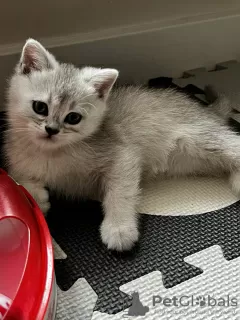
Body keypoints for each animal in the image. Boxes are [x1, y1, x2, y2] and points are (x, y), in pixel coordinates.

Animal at [3, 38, 240, 251]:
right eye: (40, 107)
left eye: (73, 118)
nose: (51, 130)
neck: (51, 153)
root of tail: (207, 109)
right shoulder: (17, 162)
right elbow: (19, 181)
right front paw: (38, 198)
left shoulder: (123, 156)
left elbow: (119, 194)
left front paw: (119, 229)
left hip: (201, 139)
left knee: (234, 144)